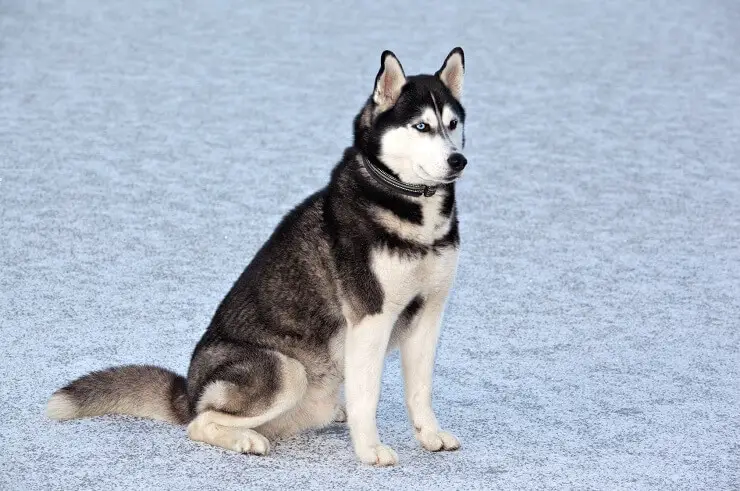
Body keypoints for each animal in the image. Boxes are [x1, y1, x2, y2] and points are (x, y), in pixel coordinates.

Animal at [47, 48, 468, 468]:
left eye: (452, 123)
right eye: (421, 126)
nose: (458, 160)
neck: (415, 213)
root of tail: (188, 392)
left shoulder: (428, 315)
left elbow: (421, 390)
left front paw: (429, 436)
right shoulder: (370, 319)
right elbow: (368, 396)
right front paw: (370, 450)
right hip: (286, 371)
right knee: (200, 422)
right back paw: (245, 439)